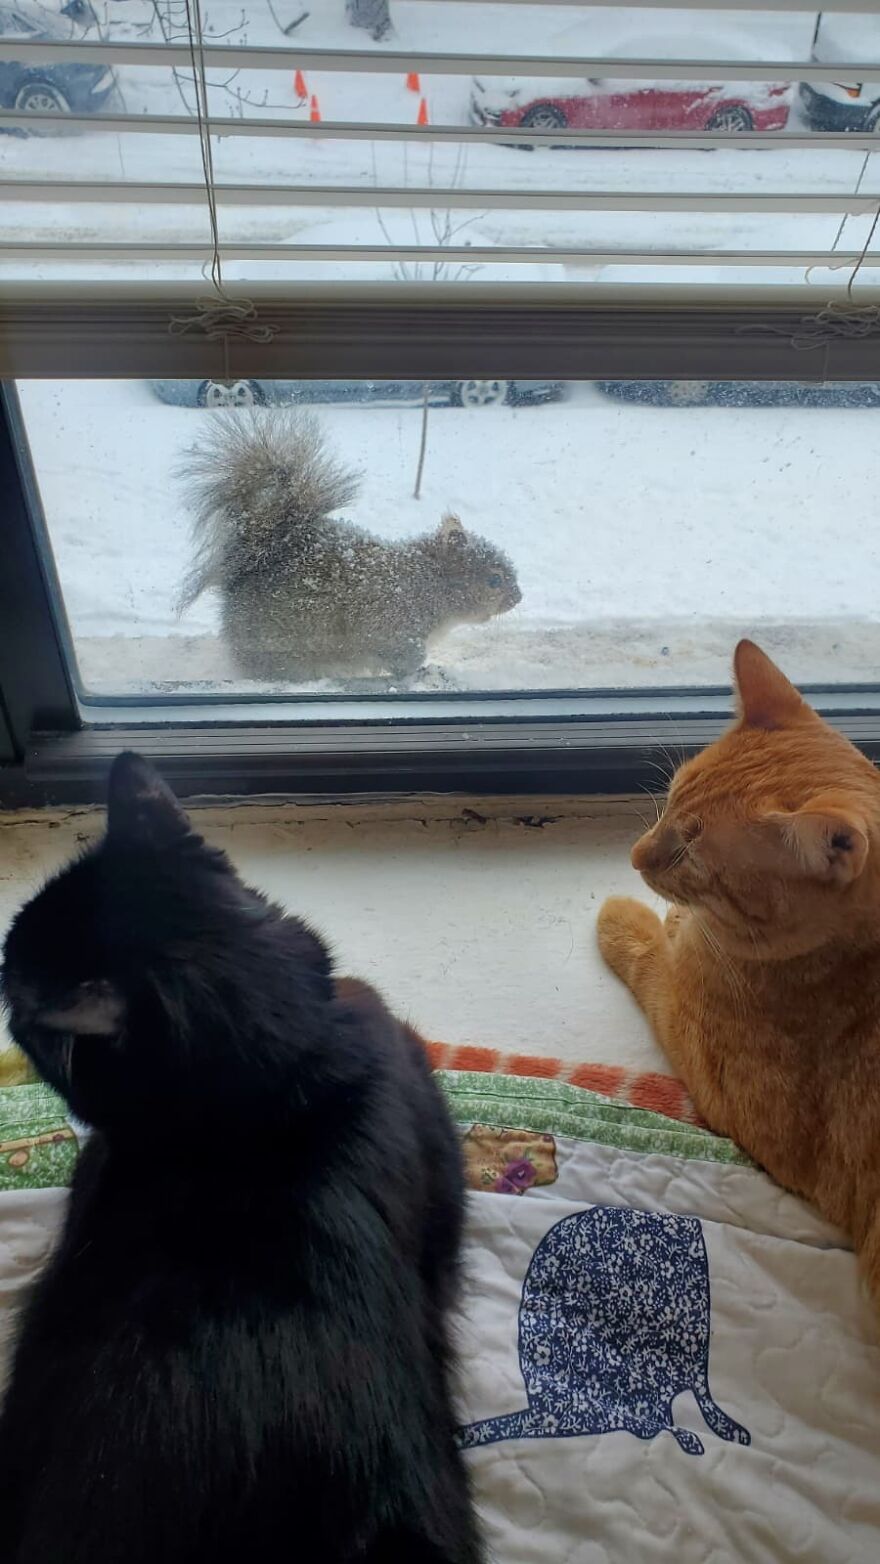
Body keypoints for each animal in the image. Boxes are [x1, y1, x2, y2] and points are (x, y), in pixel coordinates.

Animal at [177, 411, 522, 684]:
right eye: (494, 579)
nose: (518, 598)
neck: (429, 582)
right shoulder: (391, 621)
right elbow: (399, 653)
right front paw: (417, 667)